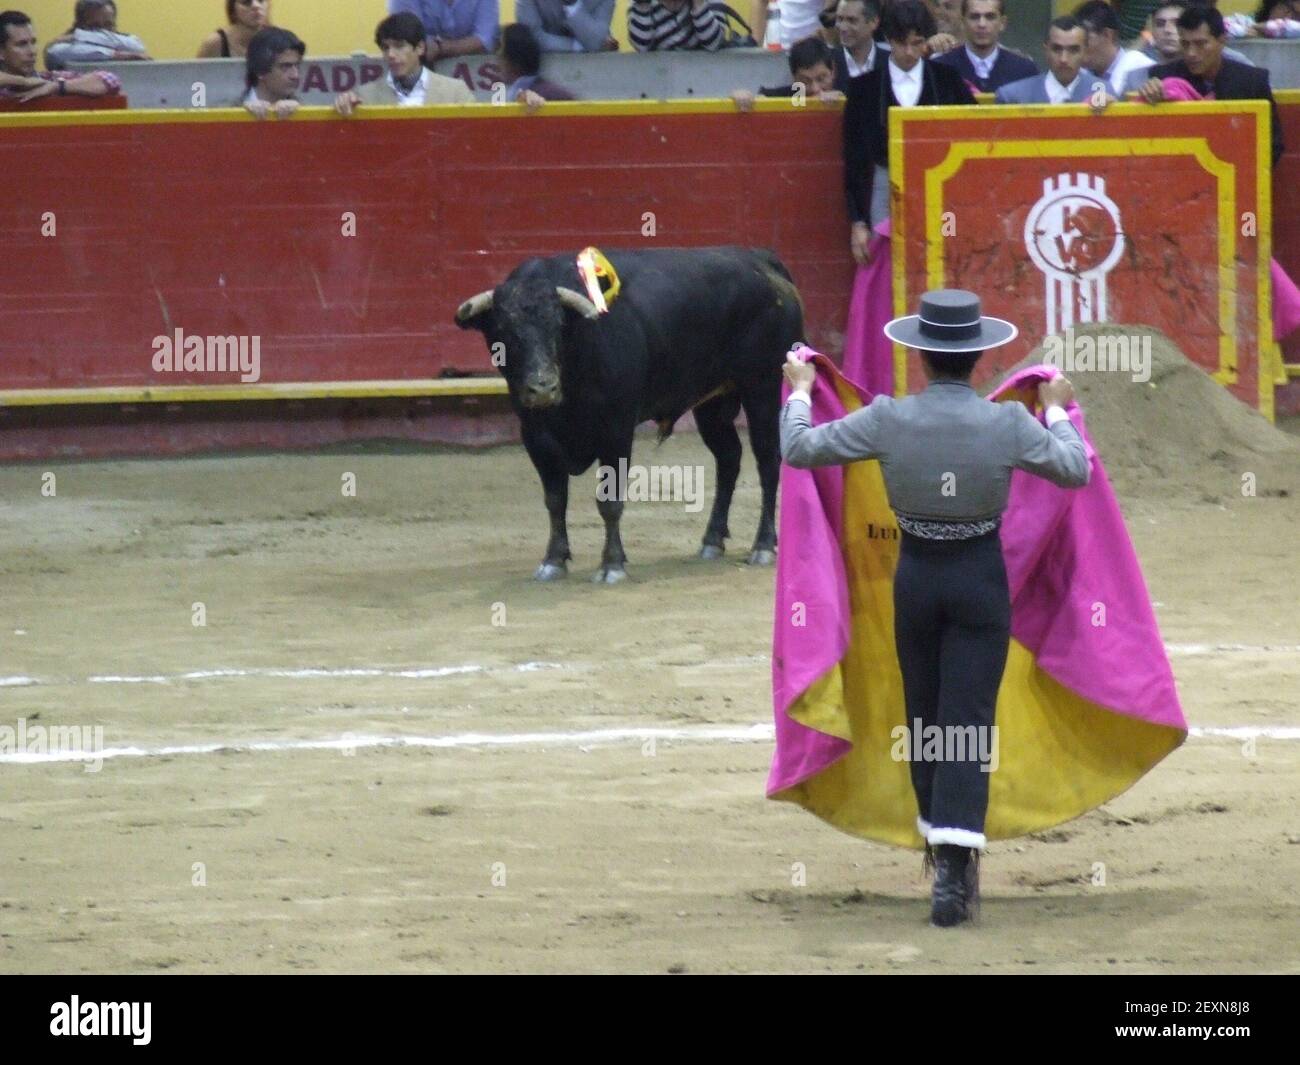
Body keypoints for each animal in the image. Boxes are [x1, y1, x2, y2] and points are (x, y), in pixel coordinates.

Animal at [454, 245, 800, 582]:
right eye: (503, 329)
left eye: (559, 326)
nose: (543, 389)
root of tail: (761, 260)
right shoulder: (535, 435)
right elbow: (555, 499)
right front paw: (553, 560)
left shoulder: (616, 429)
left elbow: (609, 502)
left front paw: (612, 564)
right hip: (713, 404)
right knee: (728, 459)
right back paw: (712, 541)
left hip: (763, 388)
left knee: (768, 461)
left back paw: (763, 545)